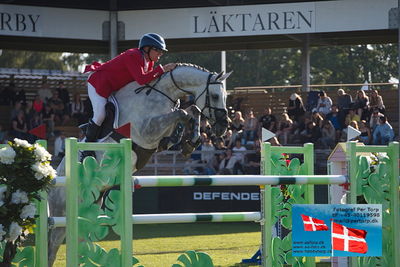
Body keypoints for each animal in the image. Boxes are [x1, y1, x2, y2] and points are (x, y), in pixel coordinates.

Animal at [47, 63, 230, 266]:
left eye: (225, 96)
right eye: (215, 96)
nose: (223, 127)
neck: (160, 95)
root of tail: (53, 179)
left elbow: (192, 111)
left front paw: (190, 141)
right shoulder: (147, 131)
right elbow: (182, 113)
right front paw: (184, 138)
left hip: (91, 203)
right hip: (63, 212)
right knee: (53, 245)